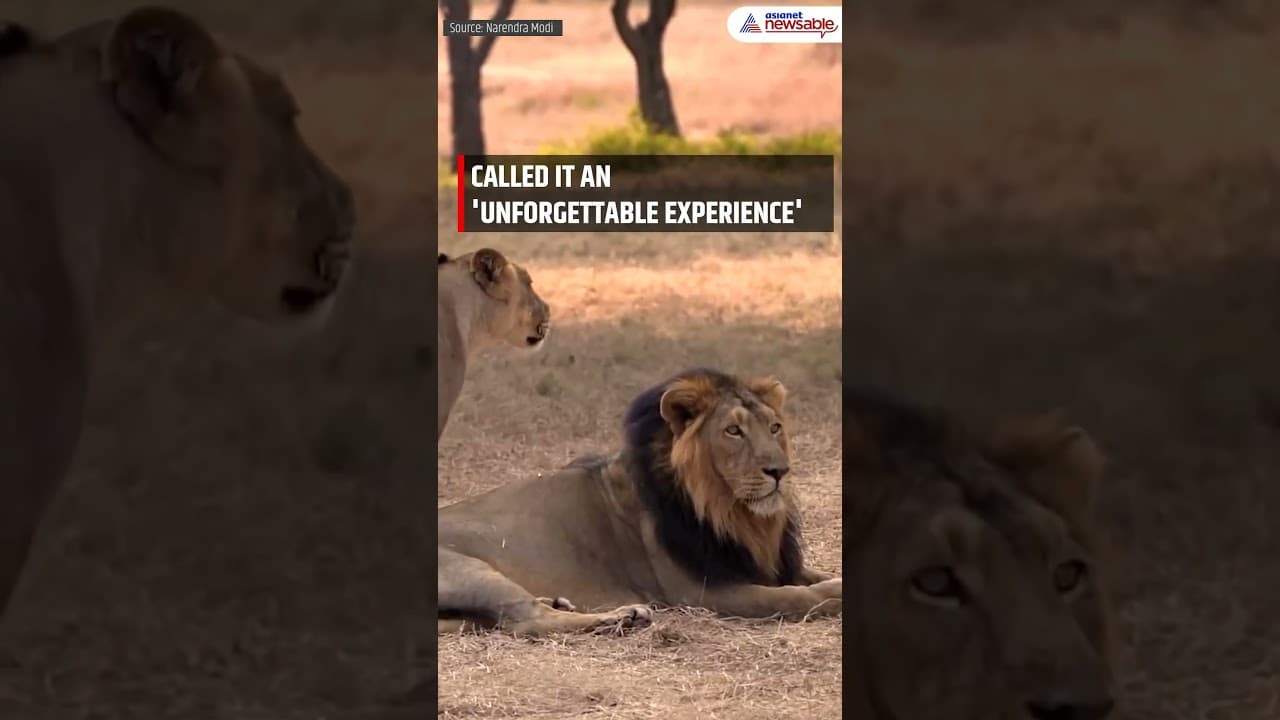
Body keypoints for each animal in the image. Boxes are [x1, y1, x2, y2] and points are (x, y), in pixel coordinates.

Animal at [437, 367, 841, 636]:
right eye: (733, 431)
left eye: (774, 427)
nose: (780, 470)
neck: (735, 515)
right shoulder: (703, 592)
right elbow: (791, 597)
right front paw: (832, 596)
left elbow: (810, 577)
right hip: (472, 571)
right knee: (526, 622)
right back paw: (622, 617)